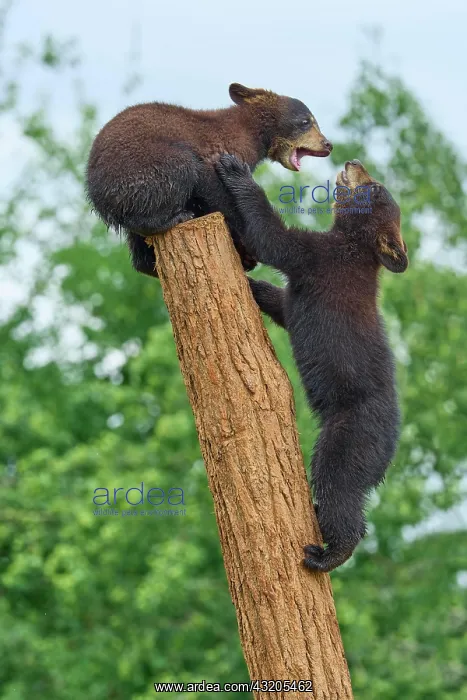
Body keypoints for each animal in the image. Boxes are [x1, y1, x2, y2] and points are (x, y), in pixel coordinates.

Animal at [85, 83, 332, 277]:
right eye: (306, 121)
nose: (328, 144)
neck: (253, 134)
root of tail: (97, 196)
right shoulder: (217, 154)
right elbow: (215, 191)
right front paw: (246, 249)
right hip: (143, 167)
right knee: (182, 166)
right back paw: (175, 217)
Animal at [215, 155, 408, 572]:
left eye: (375, 188)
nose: (353, 161)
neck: (354, 246)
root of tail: (390, 446)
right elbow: (282, 303)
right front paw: (252, 286)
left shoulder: (320, 259)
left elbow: (277, 240)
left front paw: (235, 170)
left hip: (350, 434)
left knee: (338, 484)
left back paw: (328, 552)